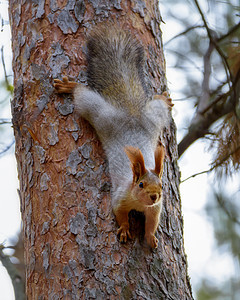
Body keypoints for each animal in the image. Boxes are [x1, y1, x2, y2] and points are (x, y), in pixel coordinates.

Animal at [54, 24, 172, 248]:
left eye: (161, 185)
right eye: (141, 184)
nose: (155, 196)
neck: (139, 202)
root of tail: (130, 115)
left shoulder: (155, 209)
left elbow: (152, 223)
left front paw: (151, 237)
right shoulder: (120, 198)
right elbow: (120, 214)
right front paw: (125, 230)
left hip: (154, 118)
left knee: (159, 106)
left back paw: (164, 98)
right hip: (100, 114)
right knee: (83, 96)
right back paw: (70, 87)